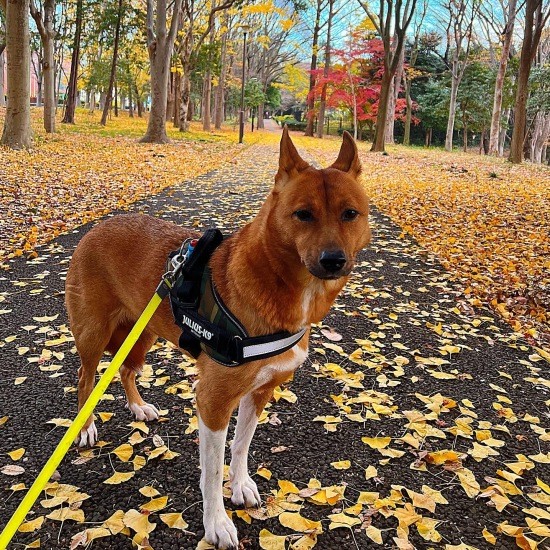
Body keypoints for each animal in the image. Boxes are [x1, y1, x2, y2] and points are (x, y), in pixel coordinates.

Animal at [67, 128, 374, 548]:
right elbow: (211, 473)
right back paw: (85, 426)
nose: (333, 260)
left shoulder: (260, 392)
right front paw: (216, 522)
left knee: (127, 371)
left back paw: (139, 406)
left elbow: (242, 445)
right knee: (86, 379)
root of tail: (97, 227)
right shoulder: (212, 401)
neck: (279, 288)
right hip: (94, 334)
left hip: (143, 333)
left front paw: (240, 484)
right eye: (303, 214)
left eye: (350, 214)